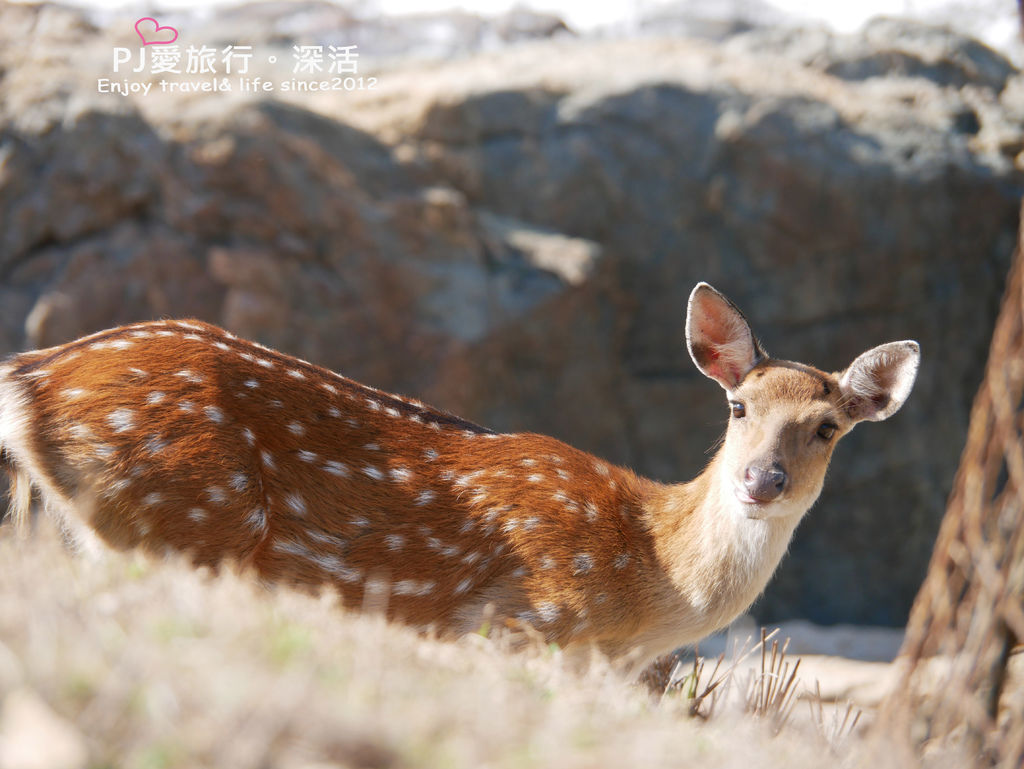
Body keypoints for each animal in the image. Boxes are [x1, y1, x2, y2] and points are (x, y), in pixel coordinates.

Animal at [0, 282, 921, 667]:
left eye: (828, 426)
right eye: (737, 406)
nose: (762, 479)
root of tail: (30, 374)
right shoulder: (517, 620)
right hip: (177, 516)